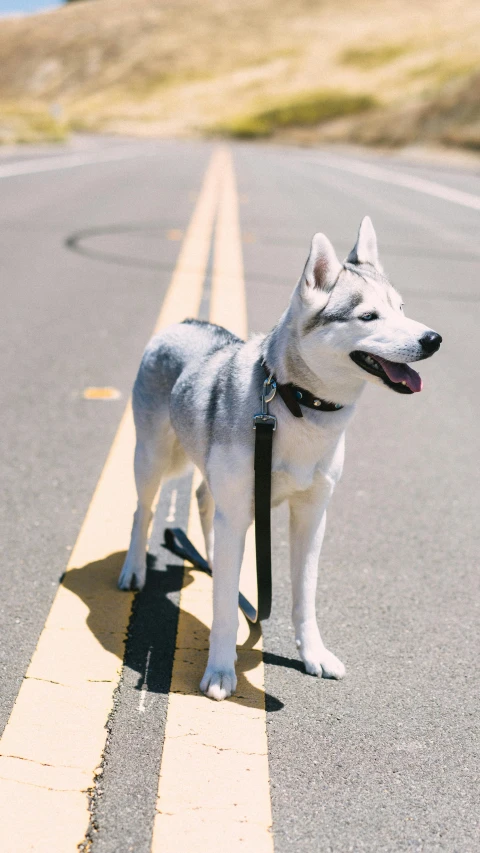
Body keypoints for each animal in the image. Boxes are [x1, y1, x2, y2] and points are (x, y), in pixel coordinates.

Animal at [118, 218, 440, 700]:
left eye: (402, 308)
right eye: (368, 316)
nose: (433, 339)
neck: (297, 404)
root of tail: (188, 321)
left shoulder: (311, 515)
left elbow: (304, 597)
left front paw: (313, 655)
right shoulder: (241, 507)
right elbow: (222, 614)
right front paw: (220, 671)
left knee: (204, 503)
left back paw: (211, 560)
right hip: (153, 458)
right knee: (144, 510)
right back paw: (134, 570)